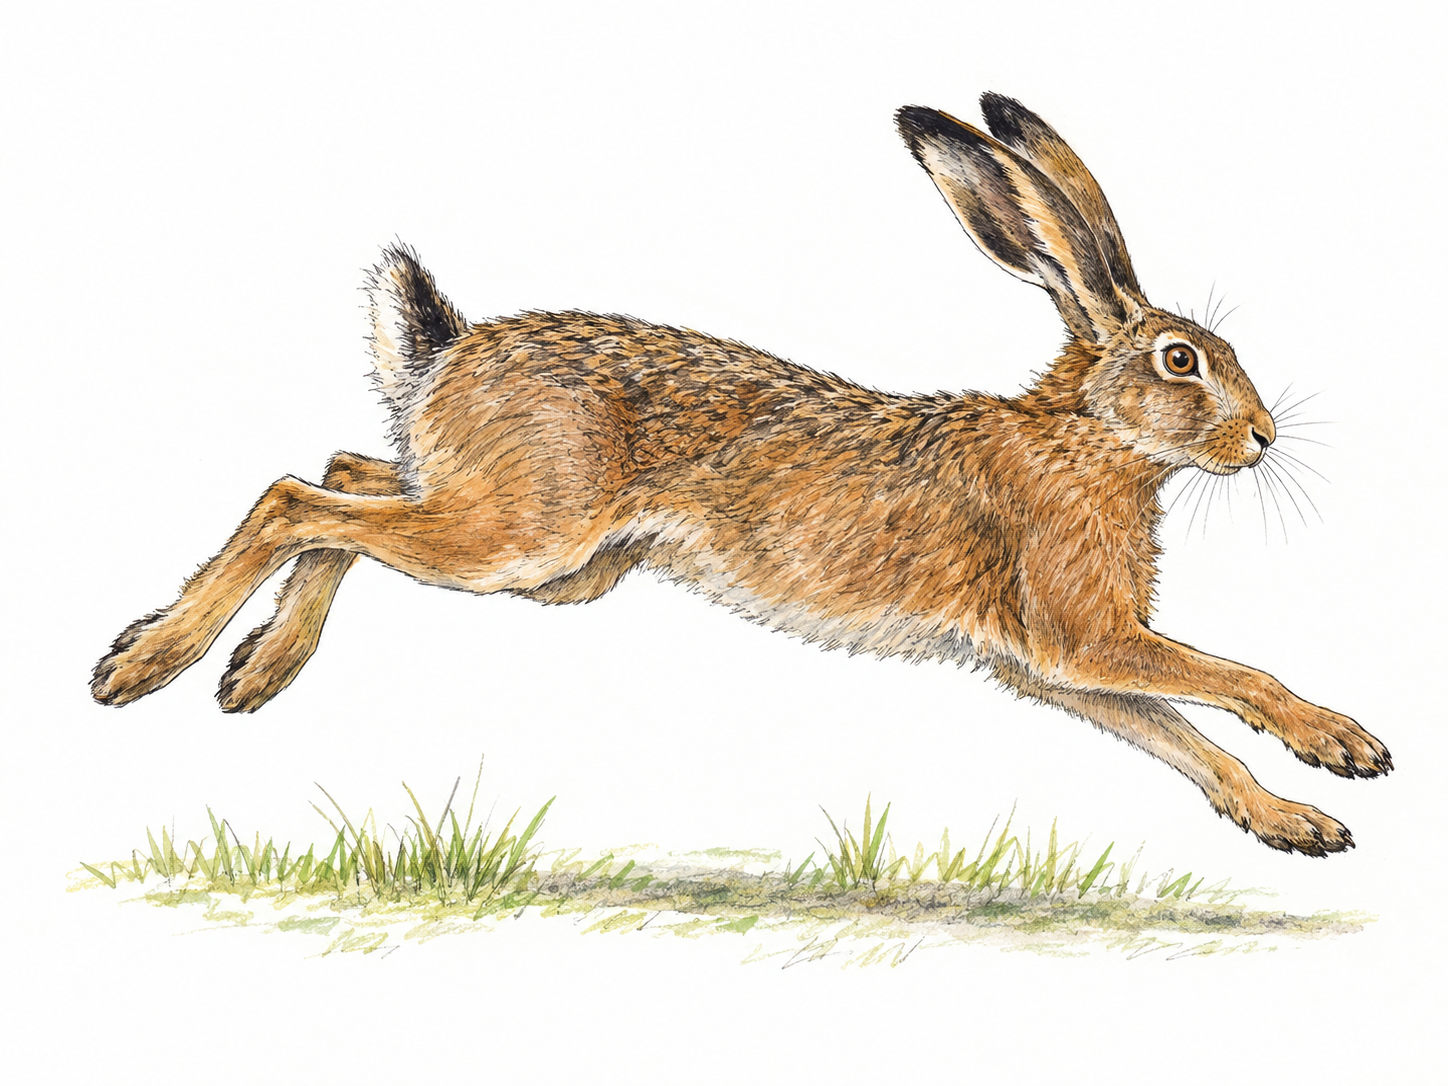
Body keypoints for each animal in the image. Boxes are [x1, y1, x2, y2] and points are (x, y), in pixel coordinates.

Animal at [91, 92, 1390, 855]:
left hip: (551, 561)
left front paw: (1293, 824)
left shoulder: (1051, 665)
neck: (1089, 436)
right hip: (523, 536)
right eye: (1181, 361)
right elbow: (1228, 681)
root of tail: (447, 355)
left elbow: (1184, 739)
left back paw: (253, 671)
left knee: (349, 473)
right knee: (294, 497)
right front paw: (1344, 748)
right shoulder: (1081, 636)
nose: (1262, 437)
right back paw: (146, 664)